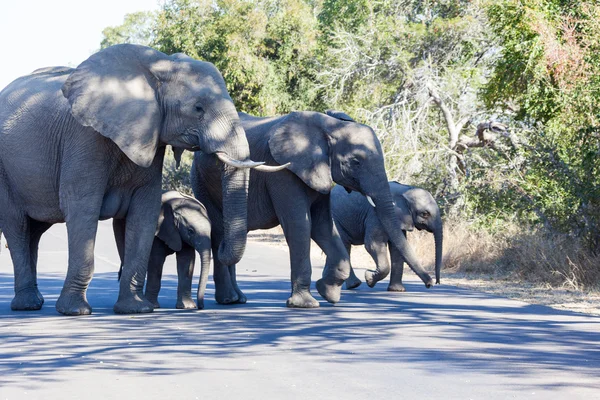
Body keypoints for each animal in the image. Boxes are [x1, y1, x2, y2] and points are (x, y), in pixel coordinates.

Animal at [0, 43, 272, 316]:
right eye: (198, 108)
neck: (158, 66)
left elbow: (144, 211)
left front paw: (135, 309)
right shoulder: (84, 137)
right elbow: (82, 207)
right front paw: (75, 311)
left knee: (34, 232)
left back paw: (34, 302)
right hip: (5, 173)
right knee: (17, 226)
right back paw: (27, 305)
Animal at [192, 111, 432, 308]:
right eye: (356, 162)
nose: (431, 284)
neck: (329, 127)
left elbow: (323, 226)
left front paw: (328, 293)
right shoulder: (283, 171)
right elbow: (299, 224)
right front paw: (305, 304)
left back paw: (238, 299)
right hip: (202, 181)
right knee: (220, 231)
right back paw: (229, 300)